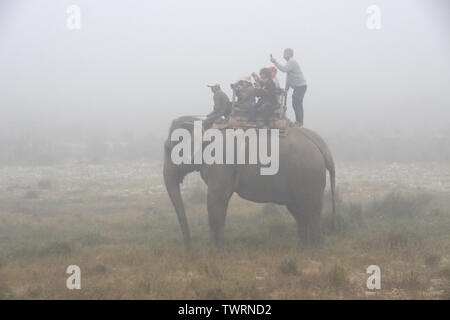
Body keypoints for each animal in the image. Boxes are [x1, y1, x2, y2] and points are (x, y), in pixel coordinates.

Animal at [163, 116, 336, 249]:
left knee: (311, 210)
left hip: (309, 176)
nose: (189, 250)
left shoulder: (220, 164)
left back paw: (315, 249)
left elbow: (216, 200)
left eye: (168, 148)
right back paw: (303, 248)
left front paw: (216, 253)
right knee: (298, 211)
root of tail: (323, 147)